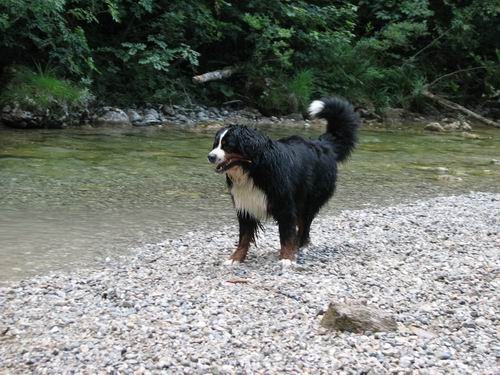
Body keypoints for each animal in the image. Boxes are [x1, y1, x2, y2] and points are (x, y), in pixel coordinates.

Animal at [207, 97, 360, 268]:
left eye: (228, 145)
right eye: (216, 144)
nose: (210, 156)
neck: (253, 170)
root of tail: (323, 144)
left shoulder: (285, 206)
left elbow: (286, 234)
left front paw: (287, 257)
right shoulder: (245, 205)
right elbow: (244, 237)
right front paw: (236, 258)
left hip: (309, 200)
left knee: (304, 224)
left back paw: (301, 245)